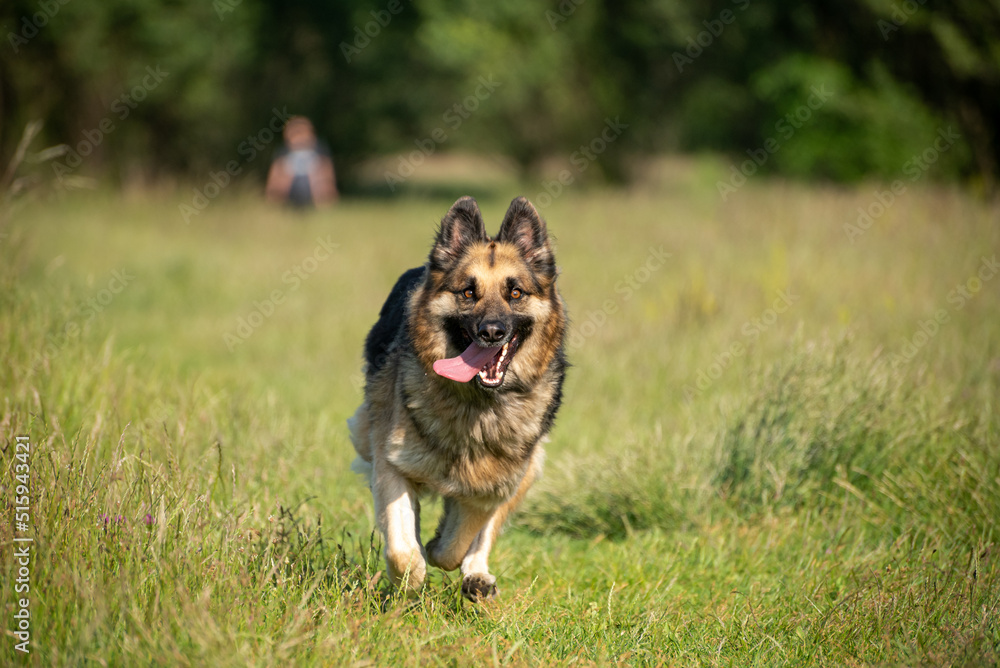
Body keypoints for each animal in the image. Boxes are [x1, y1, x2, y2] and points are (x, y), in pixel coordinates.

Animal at [350, 196, 572, 604]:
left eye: (515, 293)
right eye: (467, 293)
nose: (491, 332)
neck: (475, 404)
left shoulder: (494, 484)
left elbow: (456, 542)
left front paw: (442, 548)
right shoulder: (391, 464)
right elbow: (403, 550)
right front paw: (412, 577)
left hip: (529, 469)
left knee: (481, 539)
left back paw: (477, 575)